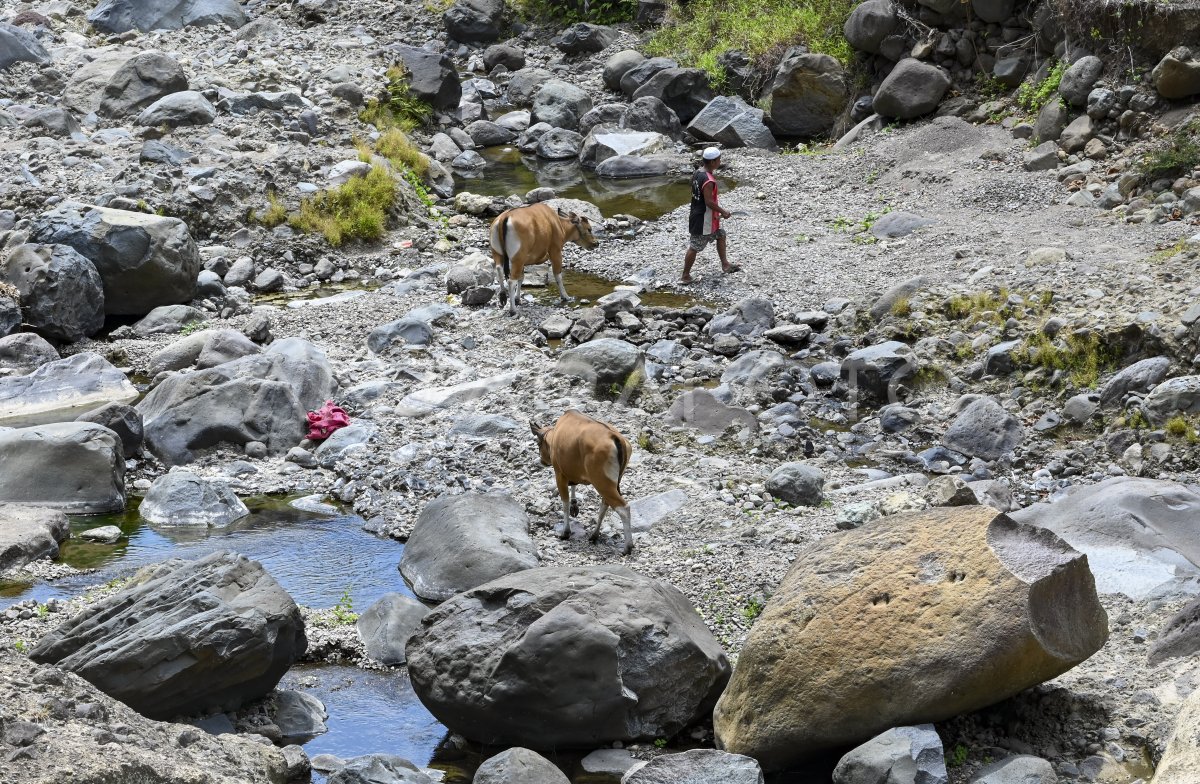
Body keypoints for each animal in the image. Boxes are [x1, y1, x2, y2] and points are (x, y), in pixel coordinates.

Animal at [530, 410, 633, 549]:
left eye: (538, 443)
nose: (542, 461)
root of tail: (616, 437)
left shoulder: (559, 474)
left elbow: (565, 503)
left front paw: (565, 532)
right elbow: (573, 485)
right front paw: (575, 505)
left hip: (602, 482)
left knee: (623, 508)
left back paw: (628, 546)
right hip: (613, 482)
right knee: (605, 505)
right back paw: (594, 535)